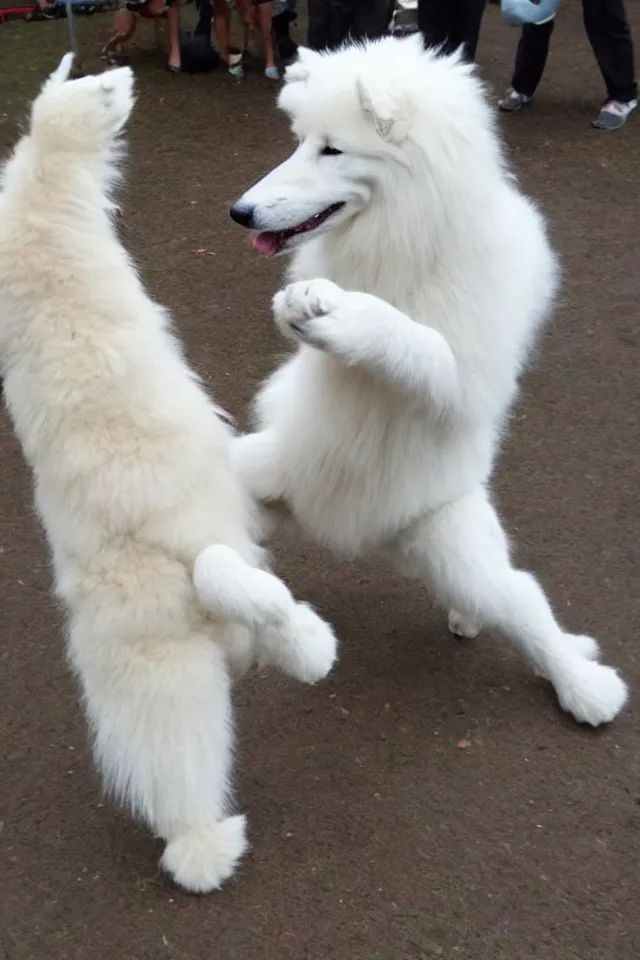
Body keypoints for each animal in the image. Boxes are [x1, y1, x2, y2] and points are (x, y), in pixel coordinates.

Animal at [0, 56, 338, 896]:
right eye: (99, 88)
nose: (125, 70)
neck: (38, 192)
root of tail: (177, 565)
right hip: (191, 619)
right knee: (266, 612)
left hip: (156, 676)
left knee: (182, 761)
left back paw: (197, 845)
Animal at [228, 35, 628, 728]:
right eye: (299, 141)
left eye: (332, 149)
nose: (240, 212)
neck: (410, 240)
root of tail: (361, 534)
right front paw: (300, 307)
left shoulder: (463, 378)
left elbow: (408, 338)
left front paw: (342, 313)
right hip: (257, 475)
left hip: (458, 548)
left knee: (524, 603)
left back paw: (586, 689)